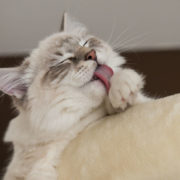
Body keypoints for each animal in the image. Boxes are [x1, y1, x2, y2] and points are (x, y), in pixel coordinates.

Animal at [0, 13, 149, 180]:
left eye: (85, 43)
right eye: (65, 60)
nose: (92, 54)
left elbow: (126, 95)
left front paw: (123, 87)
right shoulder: (23, 171)